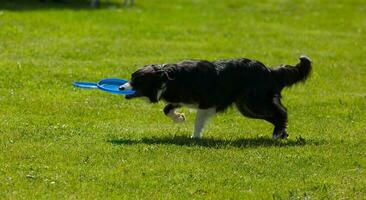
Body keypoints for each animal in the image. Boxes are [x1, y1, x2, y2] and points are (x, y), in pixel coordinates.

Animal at [119, 55, 312, 138]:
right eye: (131, 77)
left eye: (137, 80)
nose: (121, 87)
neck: (168, 77)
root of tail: (269, 71)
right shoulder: (181, 97)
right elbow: (167, 109)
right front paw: (179, 118)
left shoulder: (206, 103)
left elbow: (198, 122)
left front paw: (195, 138)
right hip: (246, 107)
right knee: (275, 115)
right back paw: (282, 133)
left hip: (253, 102)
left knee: (281, 111)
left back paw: (277, 132)